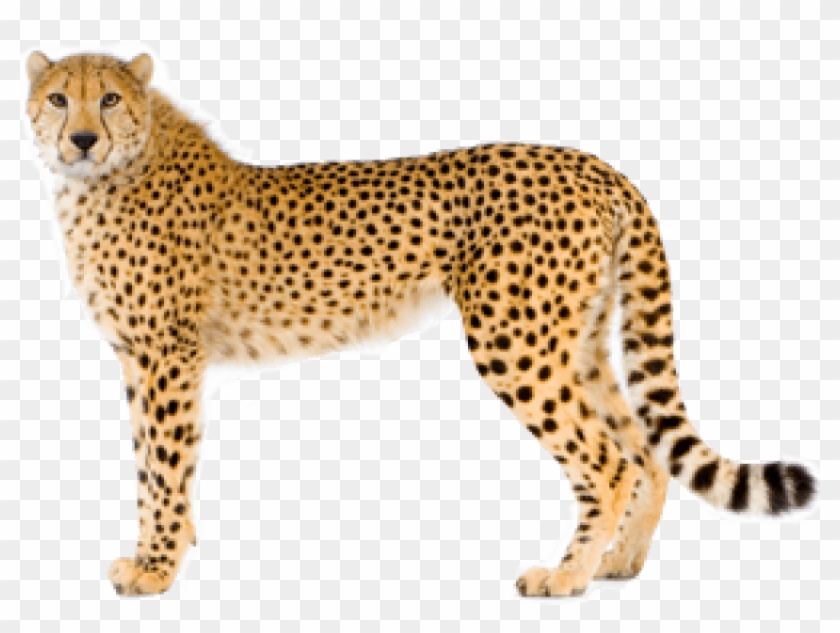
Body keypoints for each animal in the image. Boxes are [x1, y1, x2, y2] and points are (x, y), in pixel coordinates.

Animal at [26, 51, 816, 598]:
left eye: (110, 100)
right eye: (59, 98)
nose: (83, 139)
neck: (104, 180)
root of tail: (591, 163)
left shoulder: (167, 356)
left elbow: (164, 463)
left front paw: (156, 569)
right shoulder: (140, 358)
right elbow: (151, 464)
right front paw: (164, 551)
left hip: (515, 341)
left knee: (607, 459)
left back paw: (566, 576)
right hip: (578, 341)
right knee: (645, 450)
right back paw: (618, 563)